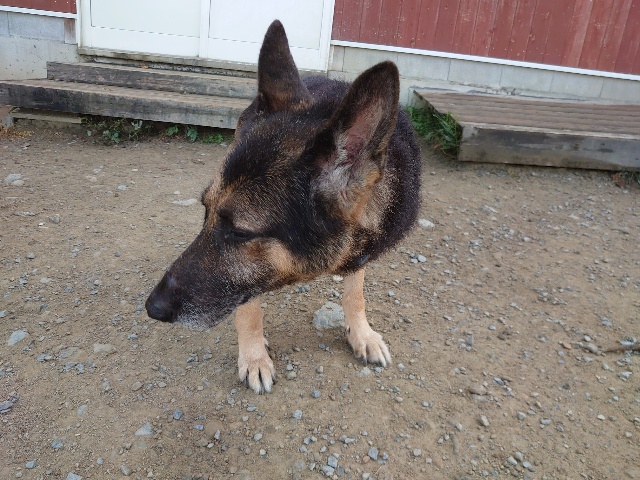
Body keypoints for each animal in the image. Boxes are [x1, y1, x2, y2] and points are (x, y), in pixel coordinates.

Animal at [146, 20, 421, 394]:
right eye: (205, 211)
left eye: (239, 232)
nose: (152, 307)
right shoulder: (249, 280)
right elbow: (248, 302)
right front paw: (253, 356)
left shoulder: (359, 251)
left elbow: (355, 293)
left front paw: (361, 333)